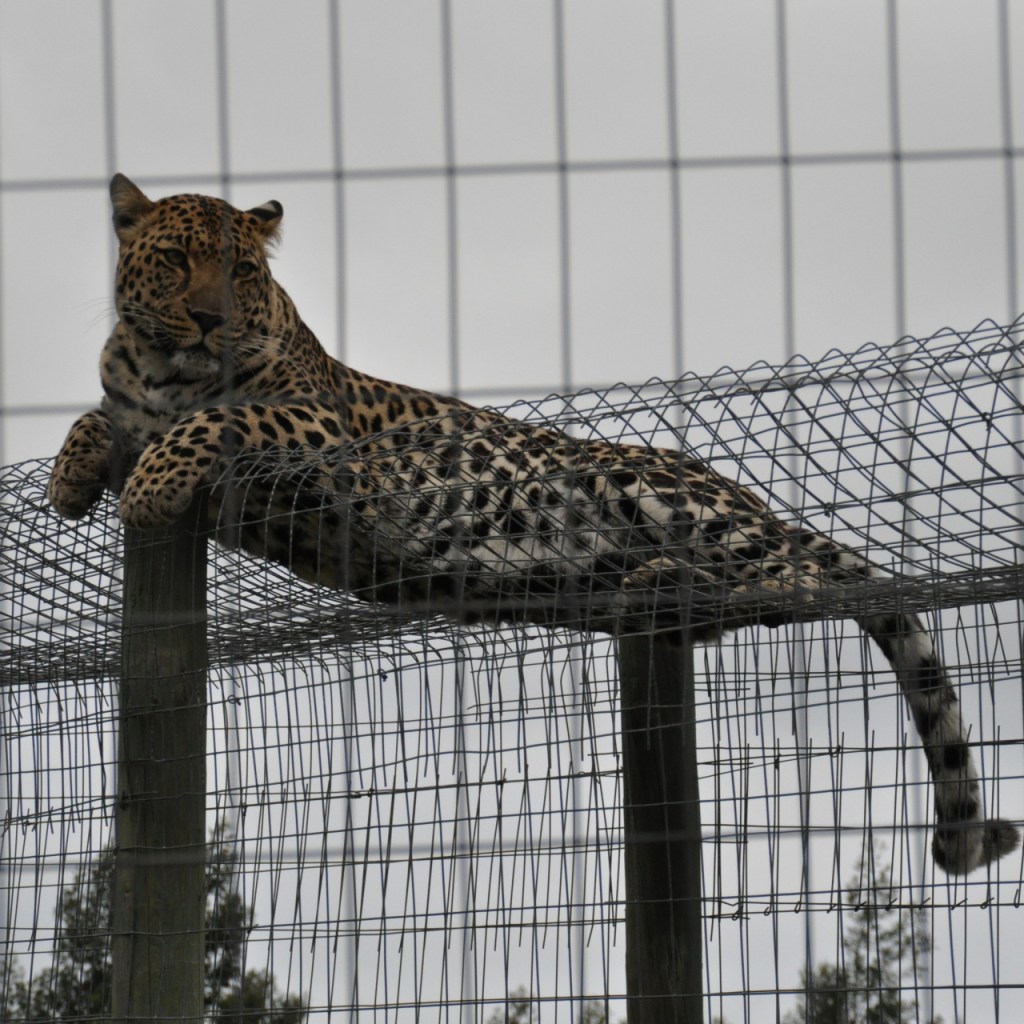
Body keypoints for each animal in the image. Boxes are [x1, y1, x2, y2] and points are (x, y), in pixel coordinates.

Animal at [49, 174, 1018, 875]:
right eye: (177, 261)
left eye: (244, 274)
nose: (208, 319)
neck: (163, 371)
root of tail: (744, 495)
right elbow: (102, 418)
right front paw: (70, 475)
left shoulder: (317, 431)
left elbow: (213, 420)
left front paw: (148, 482)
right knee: (737, 602)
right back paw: (657, 583)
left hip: (650, 487)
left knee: (816, 577)